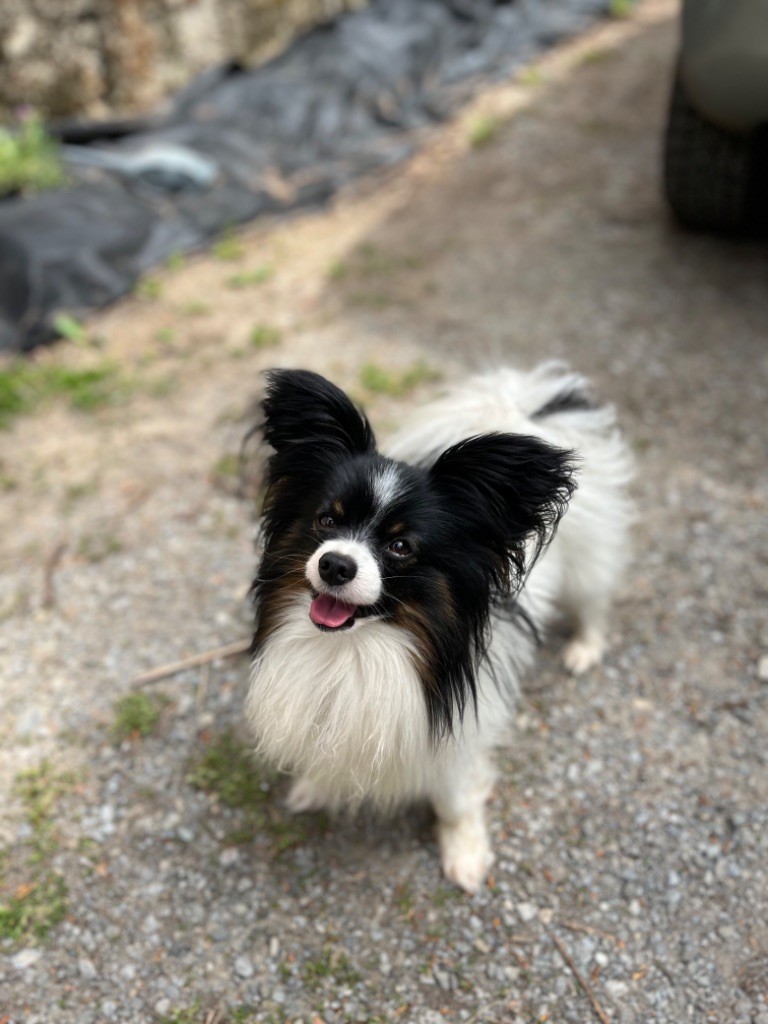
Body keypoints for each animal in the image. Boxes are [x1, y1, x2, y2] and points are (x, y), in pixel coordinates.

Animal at [246, 364, 630, 892]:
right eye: (326, 520)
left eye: (401, 546)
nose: (335, 565)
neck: (359, 649)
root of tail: (515, 407)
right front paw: (315, 786)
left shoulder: (456, 741)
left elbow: (455, 801)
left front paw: (465, 852)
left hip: (587, 564)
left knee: (594, 602)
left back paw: (584, 648)